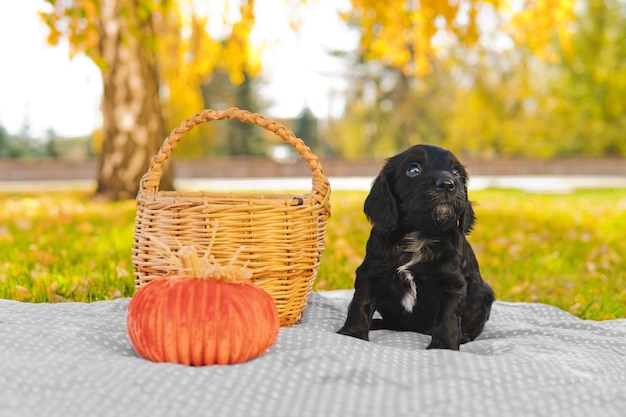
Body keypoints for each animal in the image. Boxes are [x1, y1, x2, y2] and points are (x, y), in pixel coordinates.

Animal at [336, 145, 492, 350]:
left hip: (484, 294)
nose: (448, 184)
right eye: (413, 169)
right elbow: (361, 303)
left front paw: (444, 347)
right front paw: (353, 334)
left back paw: (464, 336)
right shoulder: (371, 273)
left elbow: (448, 317)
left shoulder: (452, 282)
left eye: (456, 172)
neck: (421, 233)